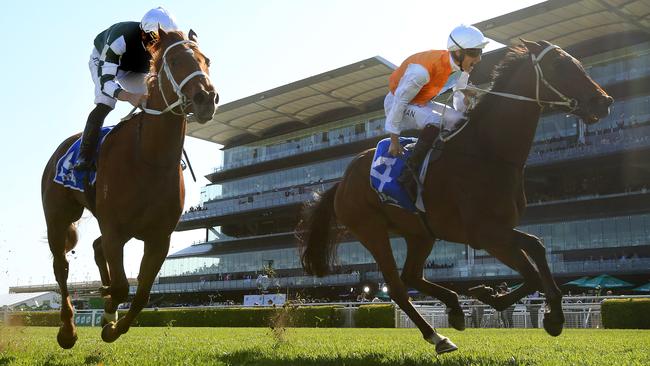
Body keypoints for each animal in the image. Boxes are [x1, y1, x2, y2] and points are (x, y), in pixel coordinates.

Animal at [41, 30, 218, 348]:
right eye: (174, 60)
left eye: (206, 60)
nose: (206, 98)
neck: (150, 159)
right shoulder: (115, 229)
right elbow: (123, 287)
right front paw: (107, 311)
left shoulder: (159, 238)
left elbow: (142, 294)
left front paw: (111, 323)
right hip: (58, 218)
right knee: (61, 268)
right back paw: (68, 330)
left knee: (96, 248)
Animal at [296, 40, 612, 354]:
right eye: (559, 65)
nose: (604, 101)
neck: (487, 152)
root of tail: (342, 182)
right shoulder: (486, 234)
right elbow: (532, 268)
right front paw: (500, 298)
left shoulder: (499, 230)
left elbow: (537, 248)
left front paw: (544, 311)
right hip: (371, 230)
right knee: (398, 287)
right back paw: (437, 336)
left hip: (420, 233)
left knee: (411, 275)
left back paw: (454, 307)